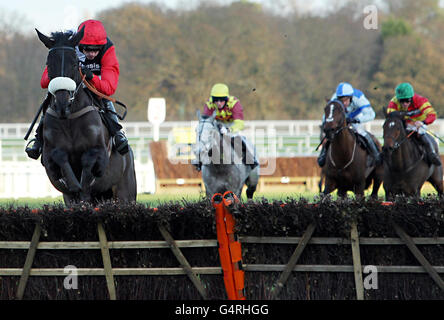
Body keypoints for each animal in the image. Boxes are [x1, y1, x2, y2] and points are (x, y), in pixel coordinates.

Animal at [35, 28, 136, 204]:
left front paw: (82, 185)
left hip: (126, 194)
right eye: (48, 64)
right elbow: (59, 156)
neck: (69, 119)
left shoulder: (100, 152)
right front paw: (75, 185)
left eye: (75, 63)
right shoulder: (48, 156)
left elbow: (89, 160)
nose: (62, 104)